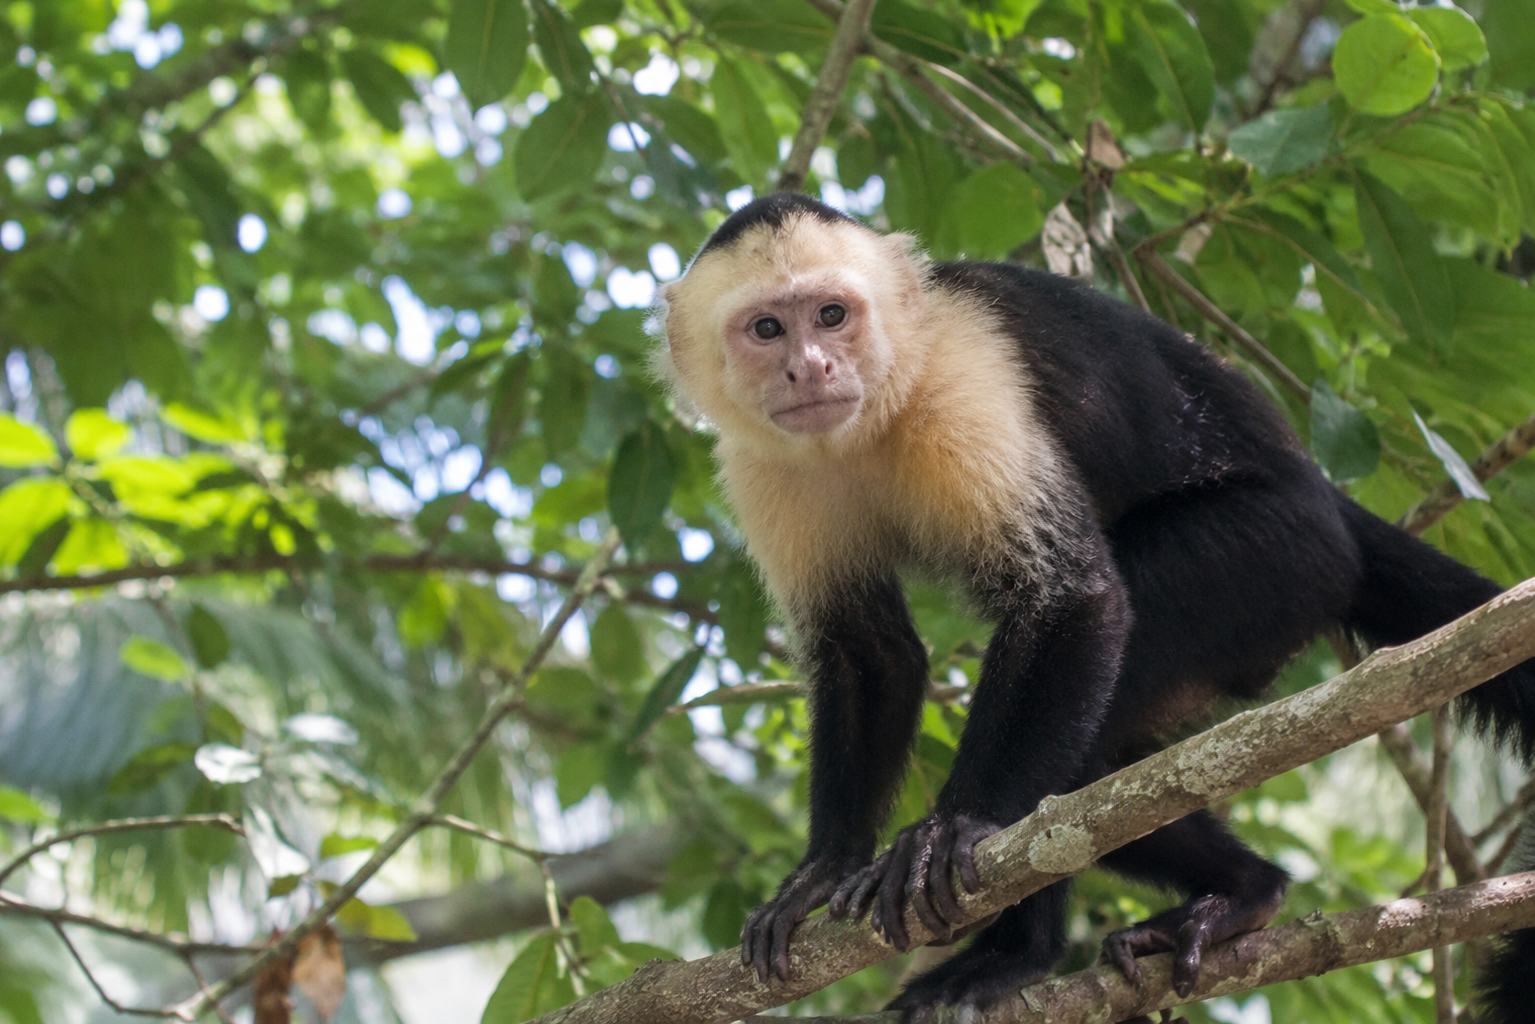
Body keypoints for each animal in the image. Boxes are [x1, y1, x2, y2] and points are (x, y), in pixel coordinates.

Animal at [648, 192, 1535, 1023]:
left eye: (832, 315)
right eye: (767, 329)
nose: (809, 368)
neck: (872, 416)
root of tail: (1325, 503)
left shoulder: (964, 376)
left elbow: (1070, 596)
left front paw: (954, 827)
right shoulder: (760, 465)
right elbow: (866, 654)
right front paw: (823, 867)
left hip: (1267, 556)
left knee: (1082, 761)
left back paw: (1029, 950)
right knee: (1105, 773)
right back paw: (1246, 889)